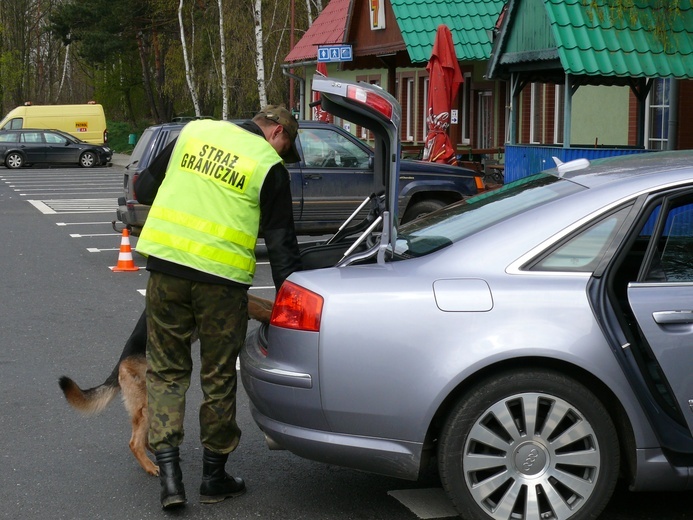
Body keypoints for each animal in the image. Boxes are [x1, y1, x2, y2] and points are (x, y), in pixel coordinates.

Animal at [58, 292, 274, 476]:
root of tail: (121, 364)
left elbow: (263, 301)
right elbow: (258, 306)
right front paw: (273, 316)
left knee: (147, 437)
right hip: (147, 405)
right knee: (134, 443)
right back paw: (150, 467)